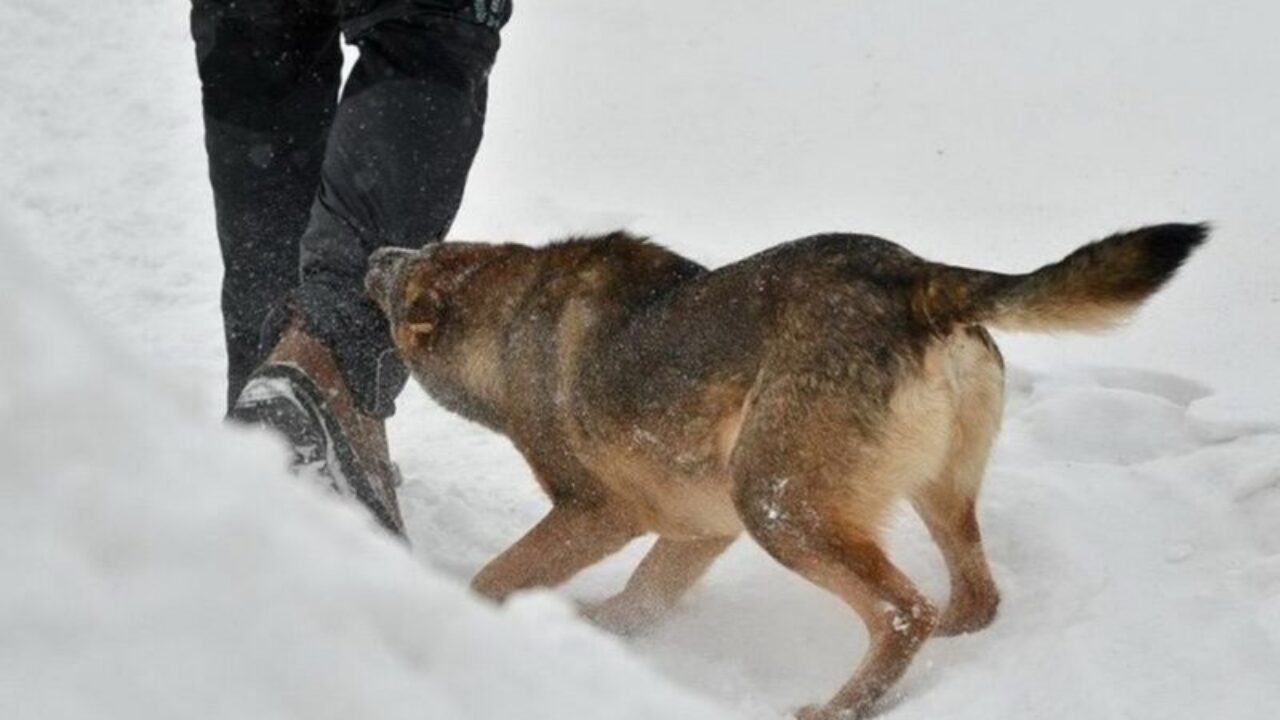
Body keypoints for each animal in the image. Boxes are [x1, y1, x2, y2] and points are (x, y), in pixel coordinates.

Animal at [363, 221, 1208, 712]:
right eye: (415, 253)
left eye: (403, 276)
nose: (373, 250)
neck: (506, 321)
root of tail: (920, 278)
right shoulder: (700, 527)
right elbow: (639, 600)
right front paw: (593, 636)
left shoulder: (598, 511)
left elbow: (495, 578)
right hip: (927, 496)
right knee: (971, 599)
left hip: (778, 507)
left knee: (904, 611)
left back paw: (837, 707)